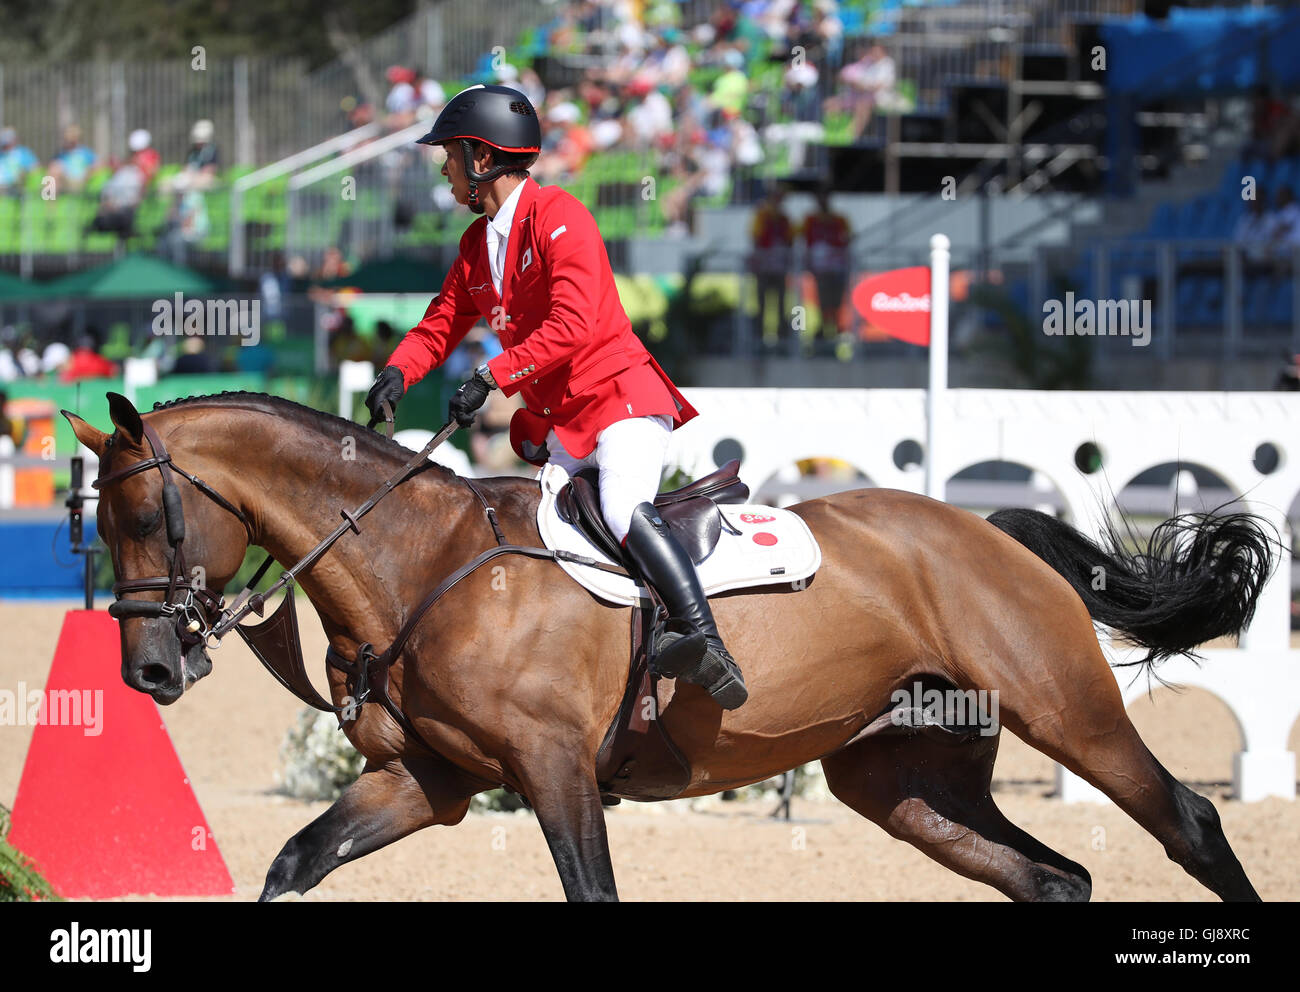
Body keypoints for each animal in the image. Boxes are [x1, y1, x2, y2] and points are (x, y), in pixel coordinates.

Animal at [65, 392, 1274, 904]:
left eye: (148, 514)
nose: (149, 672)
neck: (422, 561)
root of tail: (984, 530)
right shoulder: (428, 781)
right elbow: (292, 863)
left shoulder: (553, 771)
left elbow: (593, 893)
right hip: (904, 782)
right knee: (1053, 878)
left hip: (1066, 711)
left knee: (1189, 823)